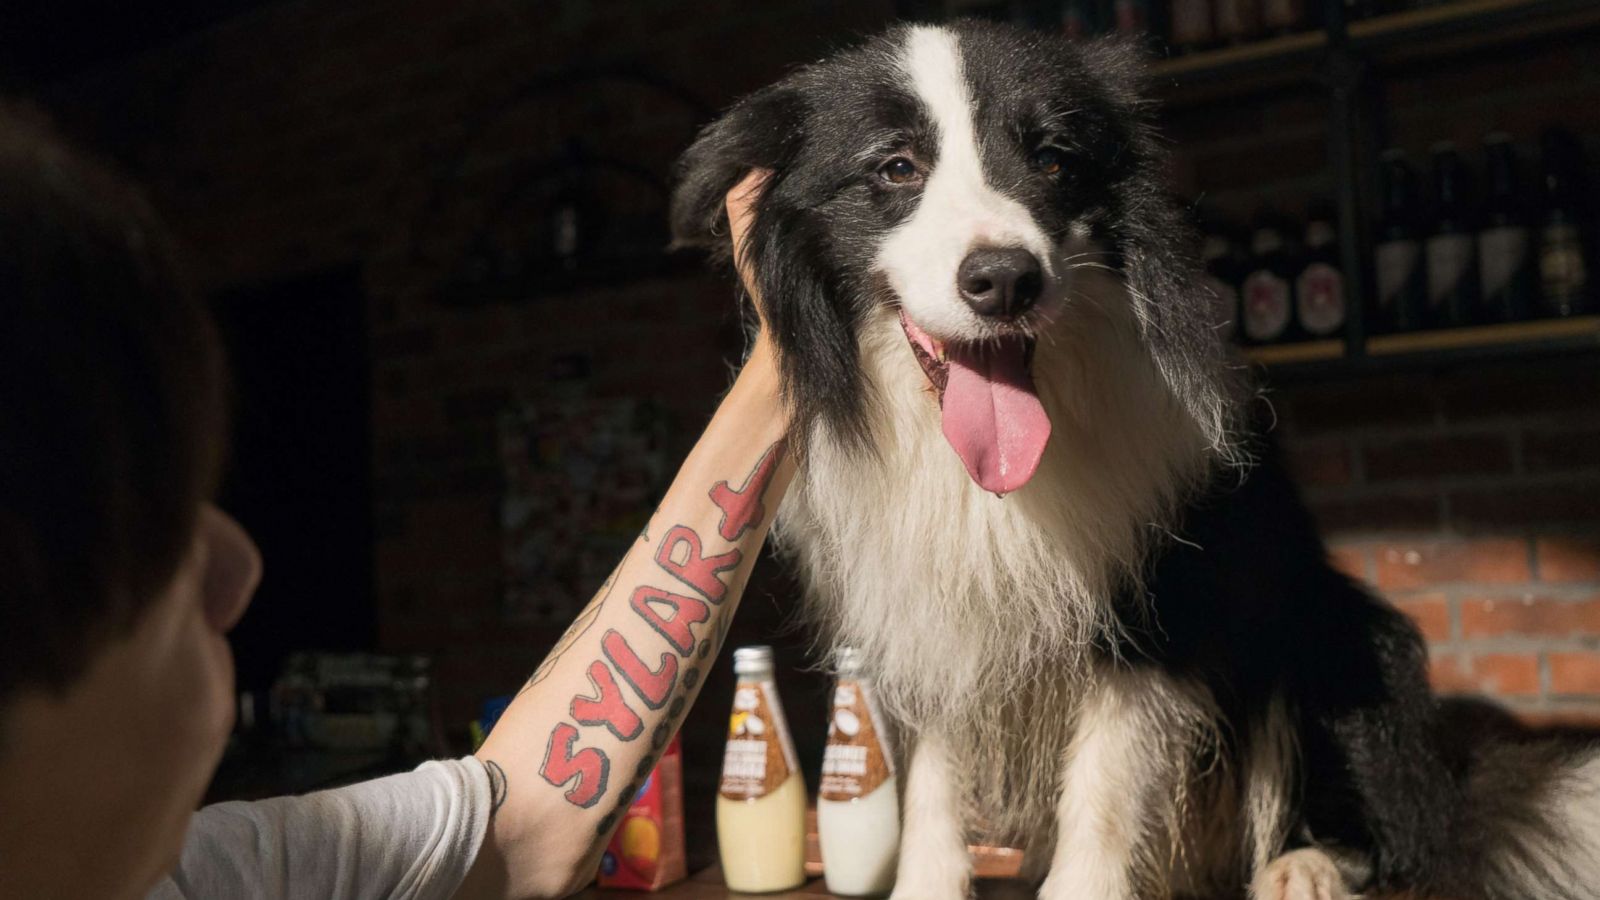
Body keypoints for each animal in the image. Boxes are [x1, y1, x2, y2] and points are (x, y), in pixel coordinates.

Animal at [668, 21, 1593, 896]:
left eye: (1053, 160)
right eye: (895, 167)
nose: (1006, 281)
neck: (982, 476)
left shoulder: (1155, 601)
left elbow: (1106, 786)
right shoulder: (930, 614)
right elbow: (933, 777)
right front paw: (925, 886)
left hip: (1342, 635)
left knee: (1393, 826)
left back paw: (1305, 866)